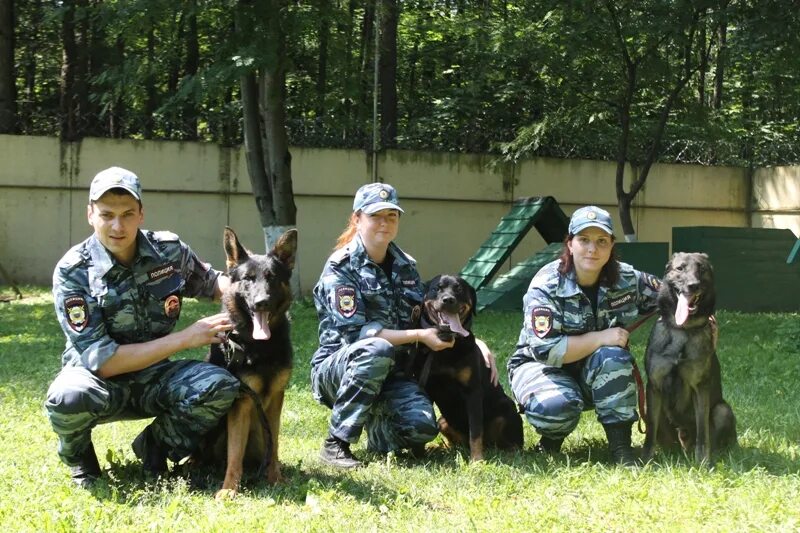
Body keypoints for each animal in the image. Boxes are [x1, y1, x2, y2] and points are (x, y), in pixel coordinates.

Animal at [200, 225, 296, 498]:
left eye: (272, 277)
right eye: (248, 279)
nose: (262, 302)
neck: (260, 346)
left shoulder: (276, 399)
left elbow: (274, 447)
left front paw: (276, 479)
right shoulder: (241, 402)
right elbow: (235, 454)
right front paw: (229, 490)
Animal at [412, 272, 524, 460]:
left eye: (459, 289)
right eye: (437, 288)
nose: (448, 299)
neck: (447, 349)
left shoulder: (473, 392)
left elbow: (476, 432)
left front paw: (477, 460)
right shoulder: (426, 387)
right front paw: (419, 453)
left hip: (506, 408)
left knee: (510, 442)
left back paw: (509, 452)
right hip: (443, 421)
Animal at [644, 251, 736, 464]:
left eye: (701, 269)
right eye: (680, 268)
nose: (693, 285)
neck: (682, 329)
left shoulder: (700, 388)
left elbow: (703, 433)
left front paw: (702, 463)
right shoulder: (654, 387)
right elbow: (650, 431)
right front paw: (645, 460)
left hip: (722, 410)